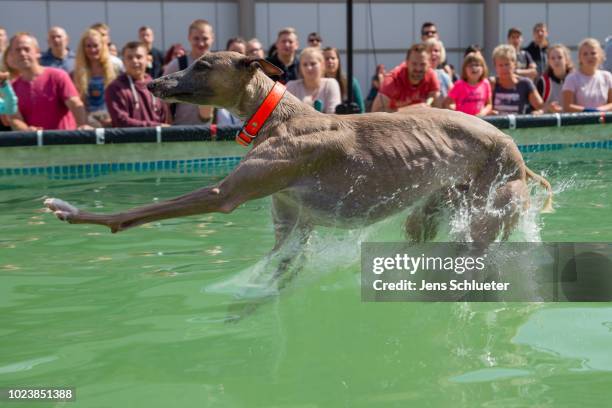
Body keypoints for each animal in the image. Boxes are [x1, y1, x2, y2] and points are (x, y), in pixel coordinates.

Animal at [45, 51, 552, 255]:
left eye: (203, 64)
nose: (153, 82)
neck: (276, 114)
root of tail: (519, 156)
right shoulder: (289, 225)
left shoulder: (226, 193)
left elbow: (137, 212)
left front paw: (71, 211)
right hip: (432, 209)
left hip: (488, 210)